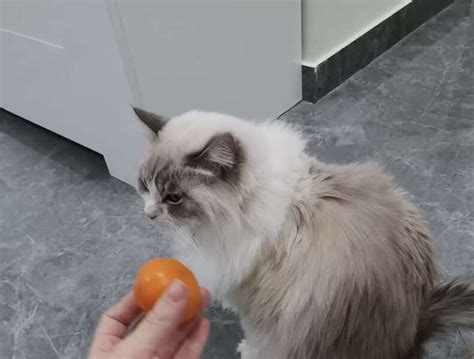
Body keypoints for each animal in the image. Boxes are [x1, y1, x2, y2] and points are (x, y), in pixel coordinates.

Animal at [132, 107, 474, 359]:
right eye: (145, 185)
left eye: (174, 198)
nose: (148, 214)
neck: (248, 204)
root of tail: (413, 334)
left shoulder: (256, 305)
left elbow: (256, 338)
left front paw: (248, 350)